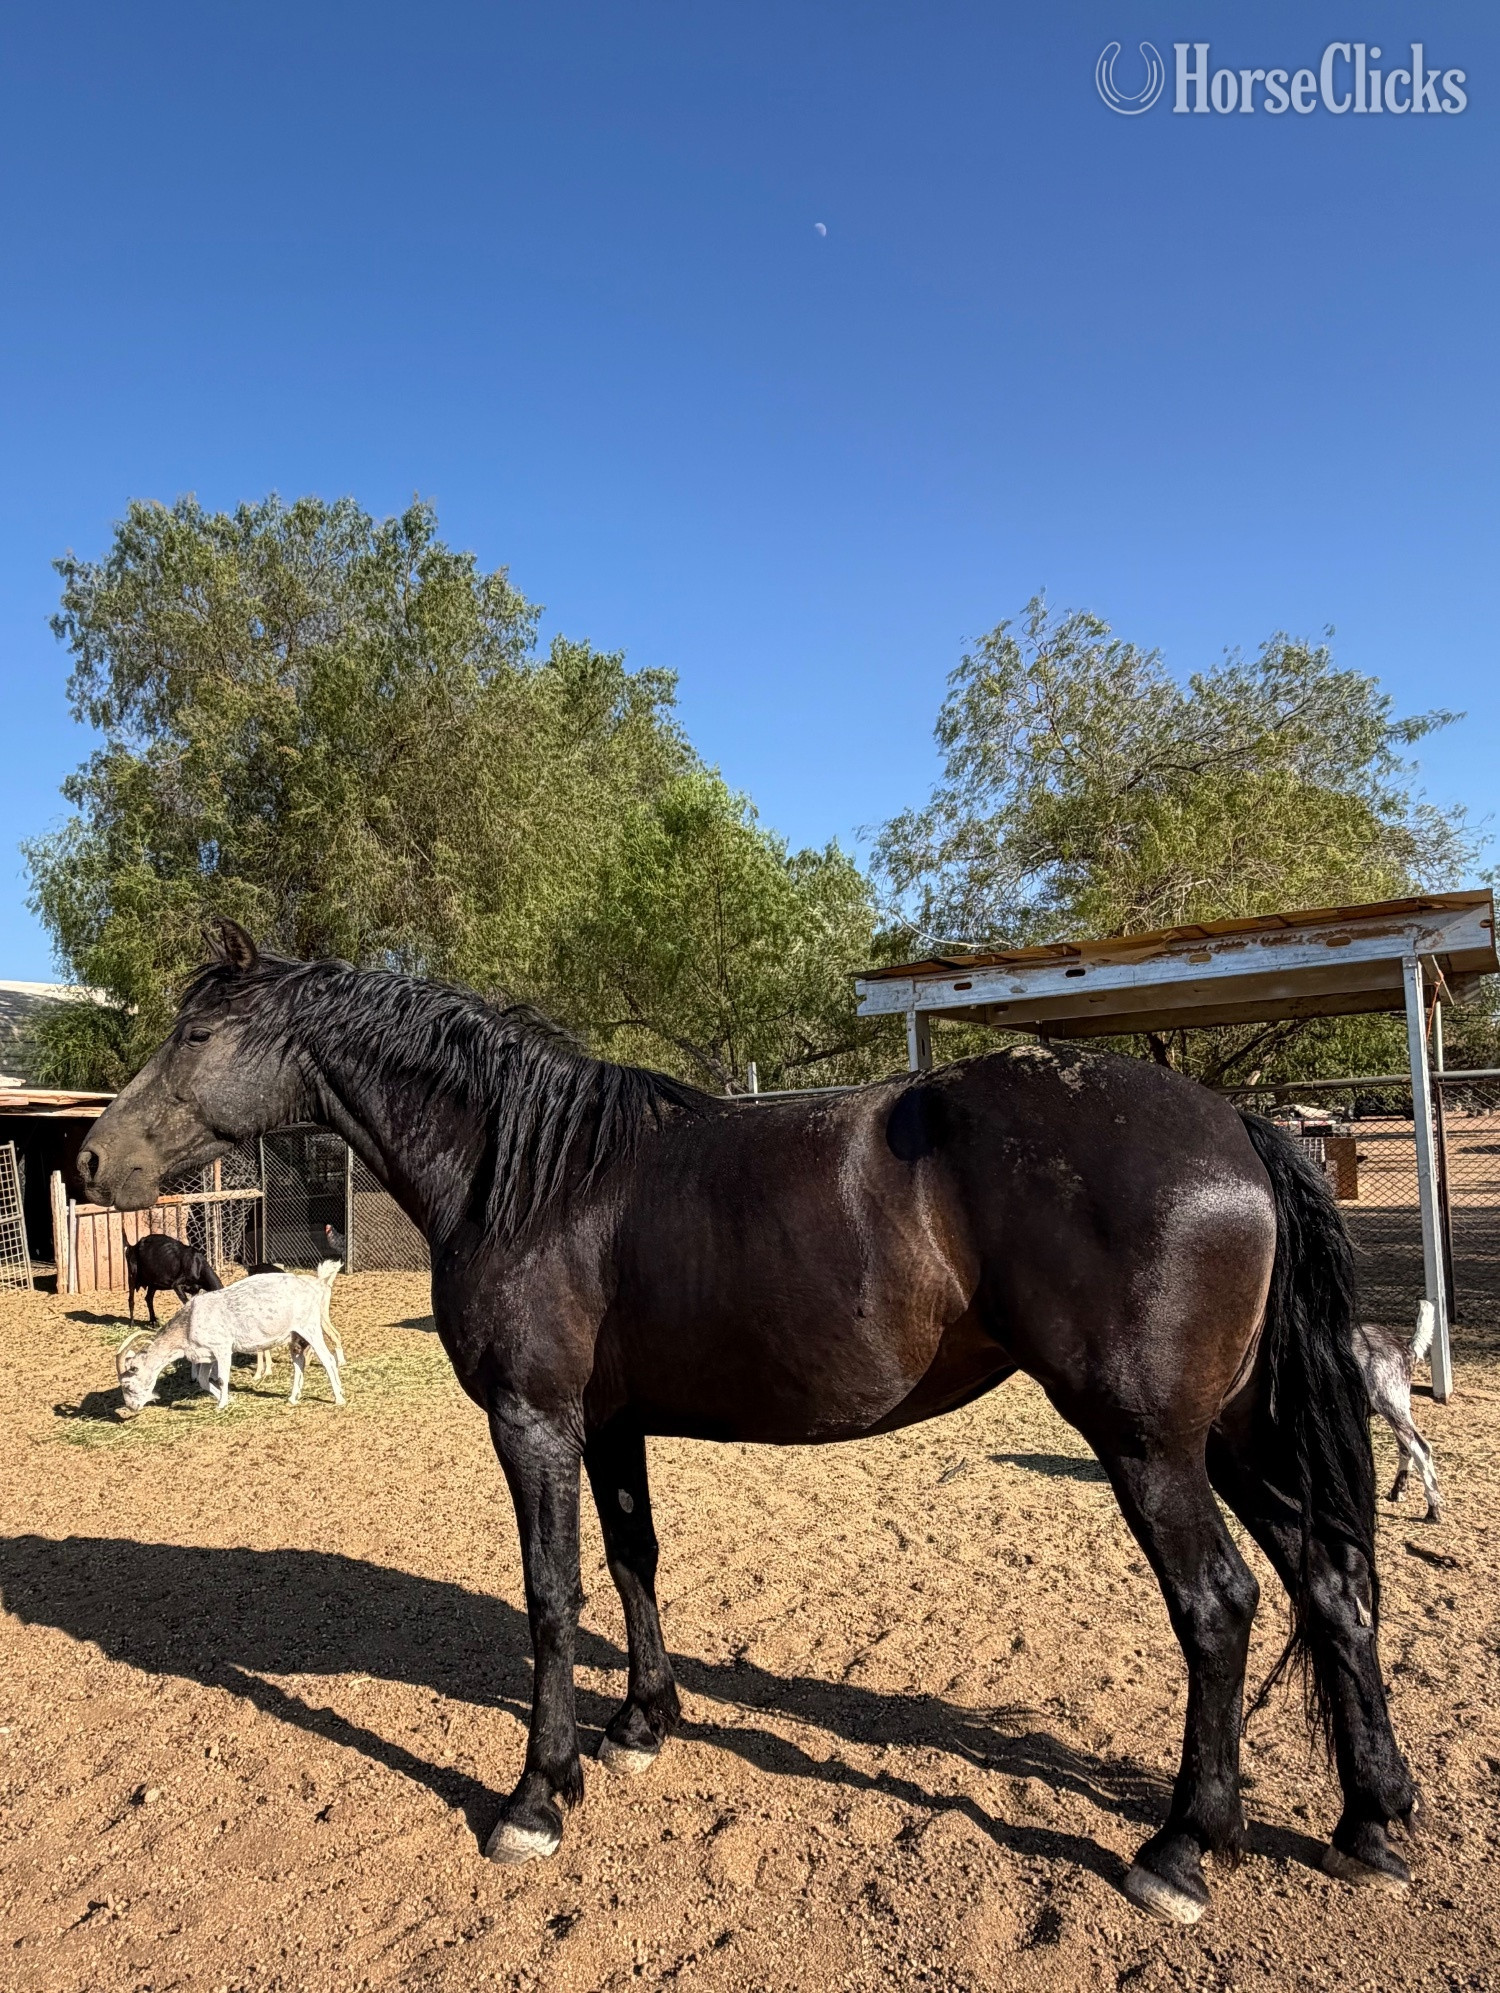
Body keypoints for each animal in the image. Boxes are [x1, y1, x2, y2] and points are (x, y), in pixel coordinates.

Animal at [76, 920, 1417, 1922]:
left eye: (198, 1032)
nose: (88, 1162)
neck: (533, 1173)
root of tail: (1230, 1122)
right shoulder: (608, 1425)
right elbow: (633, 1560)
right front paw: (641, 1725)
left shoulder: (533, 1419)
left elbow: (552, 1593)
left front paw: (536, 1796)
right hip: (1233, 1434)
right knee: (1331, 1580)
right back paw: (1372, 1818)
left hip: (1150, 1444)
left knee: (1221, 1606)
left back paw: (1184, 1849)